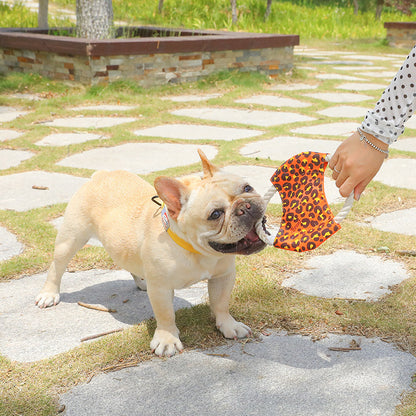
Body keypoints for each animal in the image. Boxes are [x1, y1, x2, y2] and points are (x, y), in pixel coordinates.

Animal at [35, 151, 266, 356]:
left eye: (247, 187)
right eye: (215, 214)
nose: (245, 205)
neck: (195, 251)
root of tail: (100, 174)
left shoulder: (223, 277)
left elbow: (221, 303)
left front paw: (229, 325)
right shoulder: (161, 289)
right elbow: (165, 315)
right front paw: (167, 340)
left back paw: (141, 281)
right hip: (70, 240)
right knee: (56, 267)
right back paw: (49, 294)